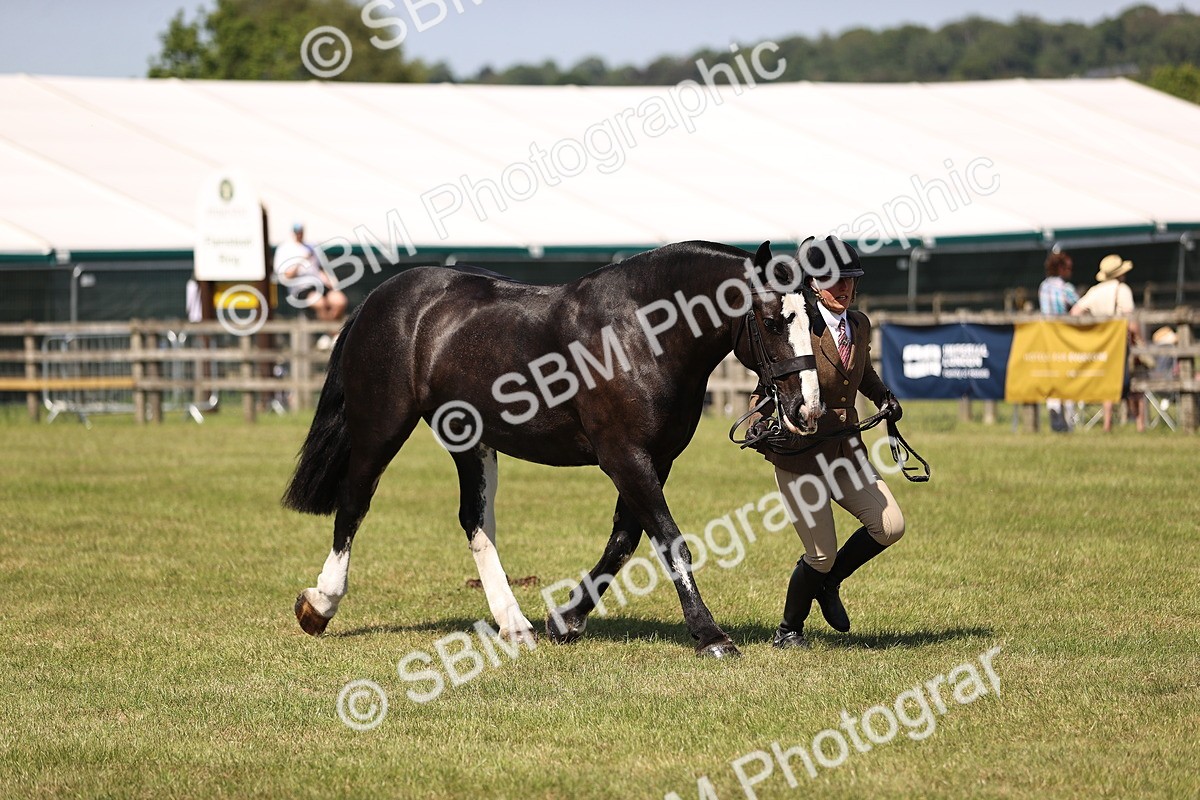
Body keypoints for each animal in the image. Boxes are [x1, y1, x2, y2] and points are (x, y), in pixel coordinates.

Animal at [283, 240, 824, 657]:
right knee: (354, 503)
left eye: (816, 319)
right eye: (773, 320)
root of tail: (380, 297)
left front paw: (566, 620)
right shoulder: (624, 457)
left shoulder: (655, 459)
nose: (807, 408)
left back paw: (514, 624)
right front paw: (710, 635)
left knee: (475, 521)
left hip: (470, 440)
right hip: (381, 428)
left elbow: (624, 540)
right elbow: (670, 540)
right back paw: (320, 604)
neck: (640, 332)